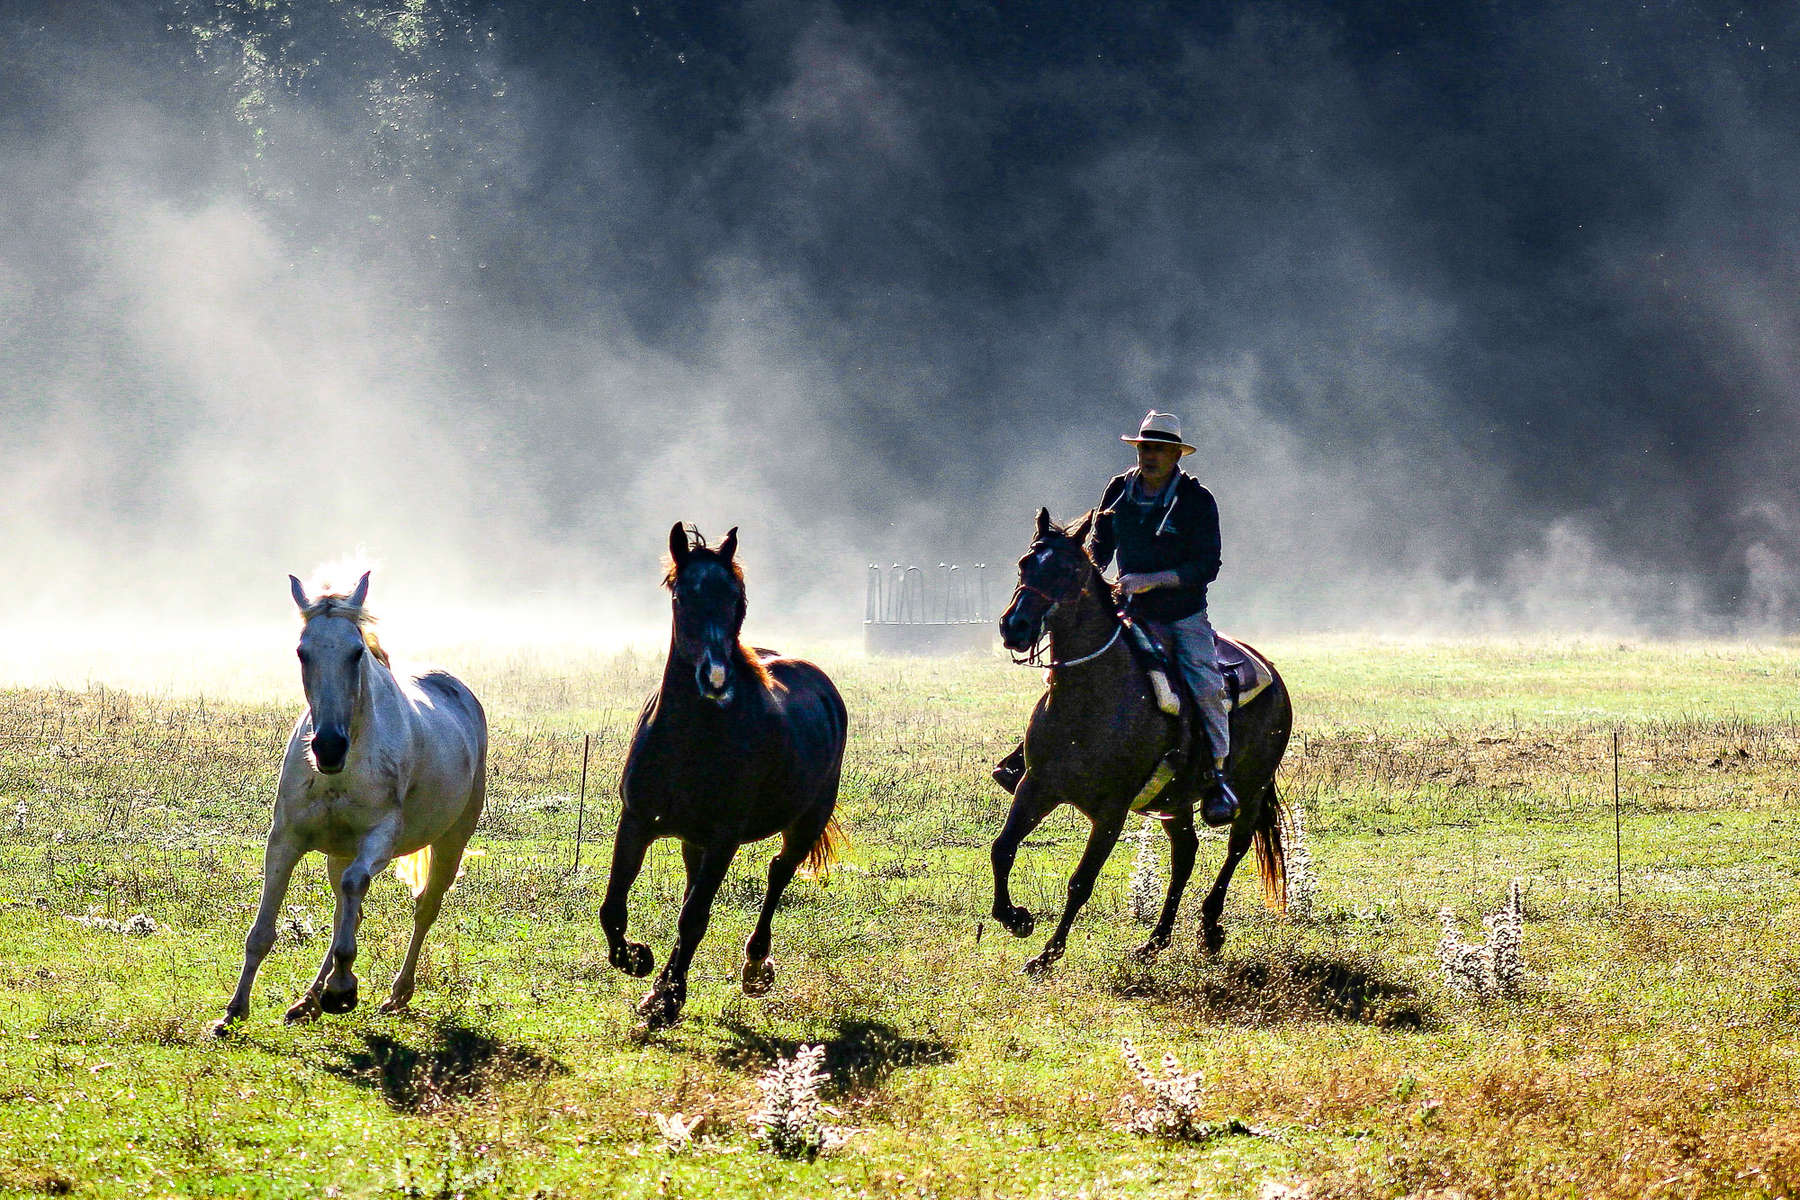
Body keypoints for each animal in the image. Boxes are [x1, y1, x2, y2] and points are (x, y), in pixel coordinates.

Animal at [212, 572, 486, 1036]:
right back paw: (307, 1002)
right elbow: (263, 930)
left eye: (357, 652)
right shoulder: (285, 840)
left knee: (423, 907)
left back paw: (394, 994)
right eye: (302, 652)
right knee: (347, 910)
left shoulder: (379, 840)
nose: (328, 747)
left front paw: (343, 989)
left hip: (451, 841)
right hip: (338, 852)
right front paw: (232, 1012)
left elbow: (357, 888)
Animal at [601, 525, 846, 1036]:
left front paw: (666, 1001)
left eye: (735, 598)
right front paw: (638, 962)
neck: (691, 739)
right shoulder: (637, 821)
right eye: (682, 596)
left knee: (778, 873)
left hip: (806, 822)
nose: (715, 679)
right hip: (693, 840)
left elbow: (693, 918)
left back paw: (755, 967)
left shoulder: (724, 838)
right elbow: (614, 906)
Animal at [993, 507, 1288, 978]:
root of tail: (1272, 675)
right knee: (1185, 854)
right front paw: (1015, 918)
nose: (1014, 626)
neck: (1090, 700)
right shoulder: (1036, 786)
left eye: (1068, 570)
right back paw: (1155, 941)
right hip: (1176, 800)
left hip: (1251, 787)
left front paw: (1047, 954)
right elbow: (1002, 848)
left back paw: (1209, 929)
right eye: (1025, 563)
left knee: (1237, 846)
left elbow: (1081, 881)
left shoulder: (1112, 810)